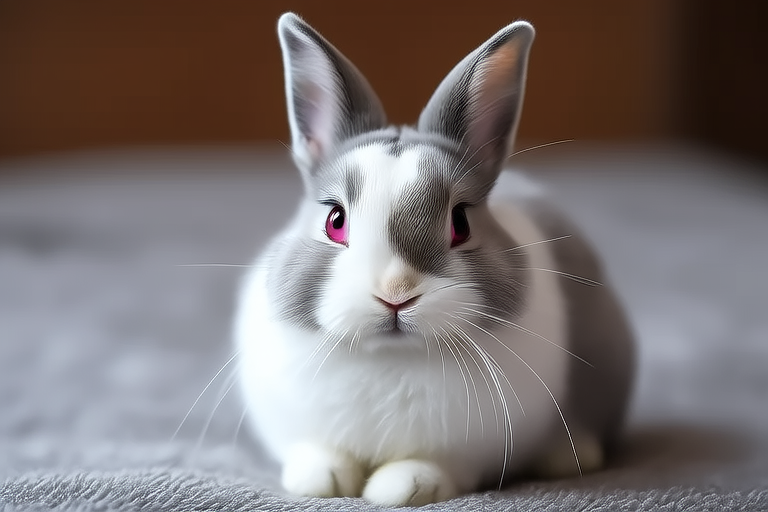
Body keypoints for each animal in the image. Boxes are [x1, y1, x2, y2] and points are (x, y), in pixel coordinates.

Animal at [234, 12, 635, 507]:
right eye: (334, 220)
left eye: (460, 223)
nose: (395, 294)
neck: (391, 357)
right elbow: (318, 452)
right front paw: (322, 479)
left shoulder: (468, 453)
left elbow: (436, 467)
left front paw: (401, 487)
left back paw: (568, 455)